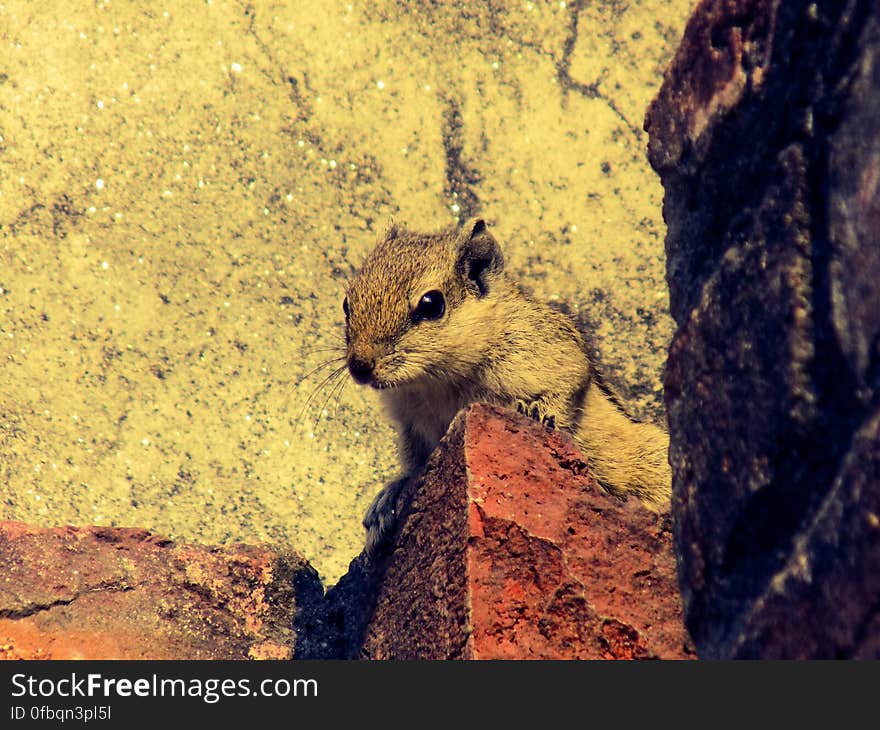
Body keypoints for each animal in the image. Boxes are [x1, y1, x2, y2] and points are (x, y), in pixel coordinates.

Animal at [340, 218, 672, 552]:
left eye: (431, 305)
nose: (360, 367)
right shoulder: (412, 427)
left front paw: (536, 413)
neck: (439, 381)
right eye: (346, 303)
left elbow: (567, 387)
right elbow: (412, 467)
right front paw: (386, 500)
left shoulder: (558, 356)